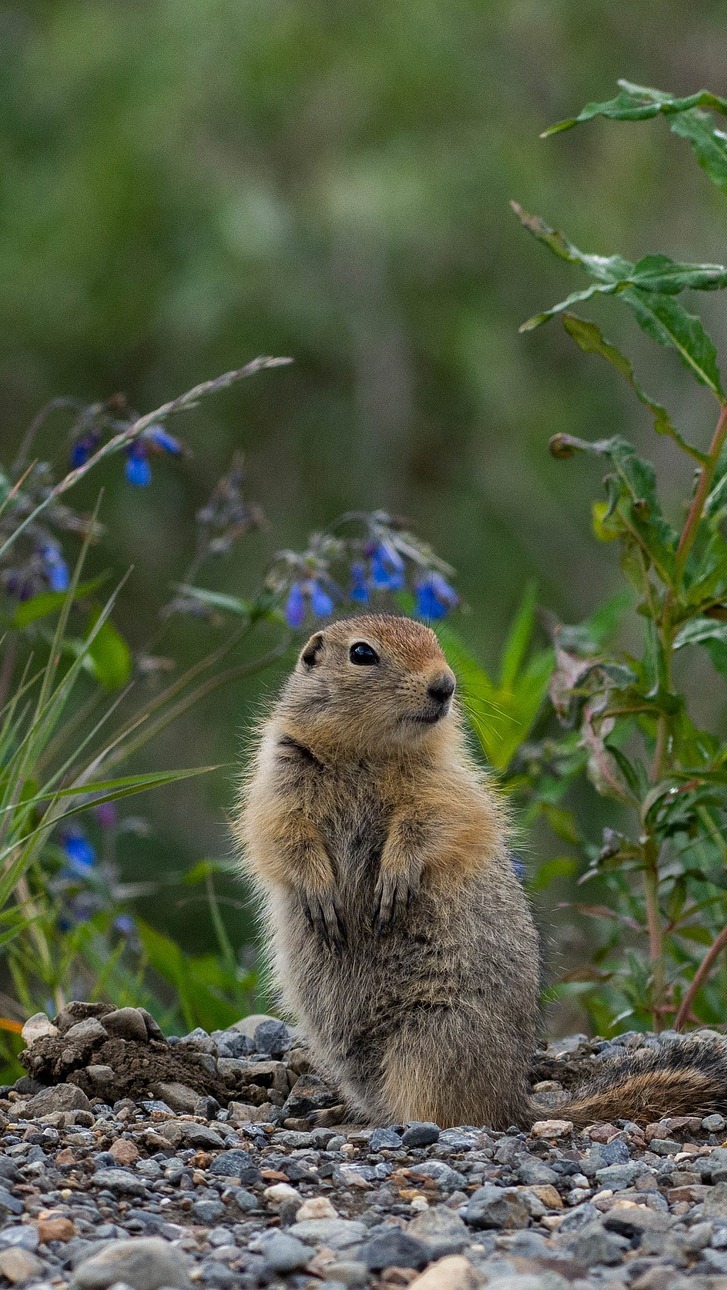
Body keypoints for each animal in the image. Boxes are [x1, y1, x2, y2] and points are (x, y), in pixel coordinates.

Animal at [235, 614, 727, 1130]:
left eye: (435, 641)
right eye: (362, 653)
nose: (444, 685)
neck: (366, 751)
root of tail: (515, 1100)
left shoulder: (446, 783)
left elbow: (432, 824)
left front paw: (394, 881)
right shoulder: (279, 775)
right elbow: (281, 836)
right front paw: (320, 894)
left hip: (431, 1038)